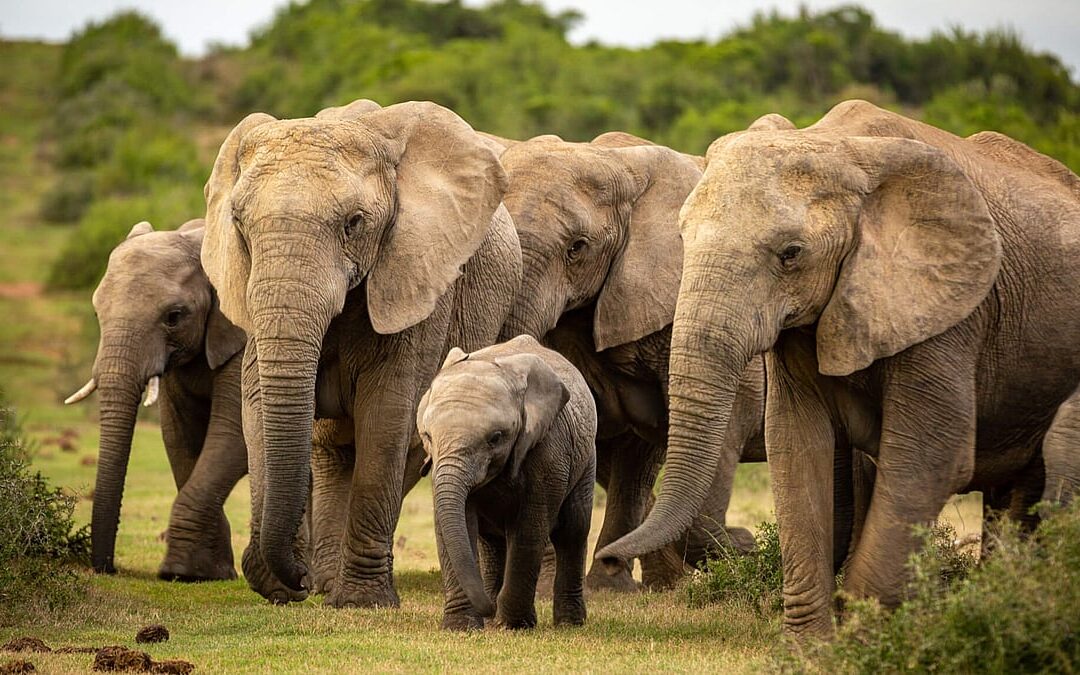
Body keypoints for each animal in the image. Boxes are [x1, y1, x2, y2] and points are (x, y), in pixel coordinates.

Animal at [65, 218, 248, 580]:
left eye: (174, 316)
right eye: (97, 313)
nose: (108, 568)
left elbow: (234, 434)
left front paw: (182, 571)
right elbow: (179, 438)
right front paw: (207, 574)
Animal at [201, 99, 521, 607]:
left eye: (354, 224)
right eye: (238, 224)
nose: (299, 579)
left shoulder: (415, 280)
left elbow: (386, 416)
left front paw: (363, 601)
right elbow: (257, 406)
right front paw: (281, 586)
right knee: (331, 451)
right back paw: (328, 583)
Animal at [417, 334, 596, 630]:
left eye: (496, 438)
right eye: (427, 436)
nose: (489, 609)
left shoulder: (548, 450)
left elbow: (529, 528)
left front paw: (514, 625)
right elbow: (453, 526)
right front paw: (461, 627)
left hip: (586, 458)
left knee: (573, 530)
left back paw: (569, 624)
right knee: (490, 541)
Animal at [597, 99, 1080, 639]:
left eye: (791, 255)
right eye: (683, 237)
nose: (611, 559)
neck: (841, 148)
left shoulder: (945, 315)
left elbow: (928, 457)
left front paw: (864, 639)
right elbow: (799, 446)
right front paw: (808, 648)